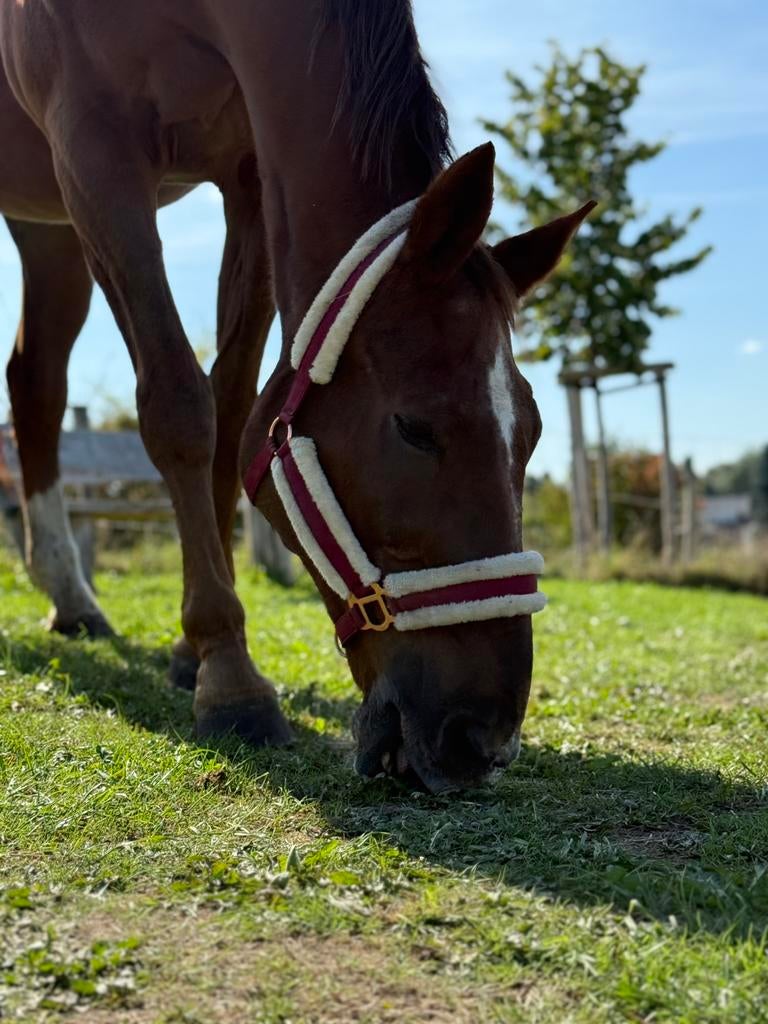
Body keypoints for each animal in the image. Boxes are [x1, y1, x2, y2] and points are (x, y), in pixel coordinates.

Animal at [0, 0, 593, 792]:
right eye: (414, 427)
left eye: (530, 432)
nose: (483, 738)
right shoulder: (96, 158)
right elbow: (180, 407)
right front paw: (231, 679)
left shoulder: (247, 176)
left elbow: (233, 408)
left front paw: (195, 656)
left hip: (47, 227)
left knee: (35, 383)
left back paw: (69, 594)